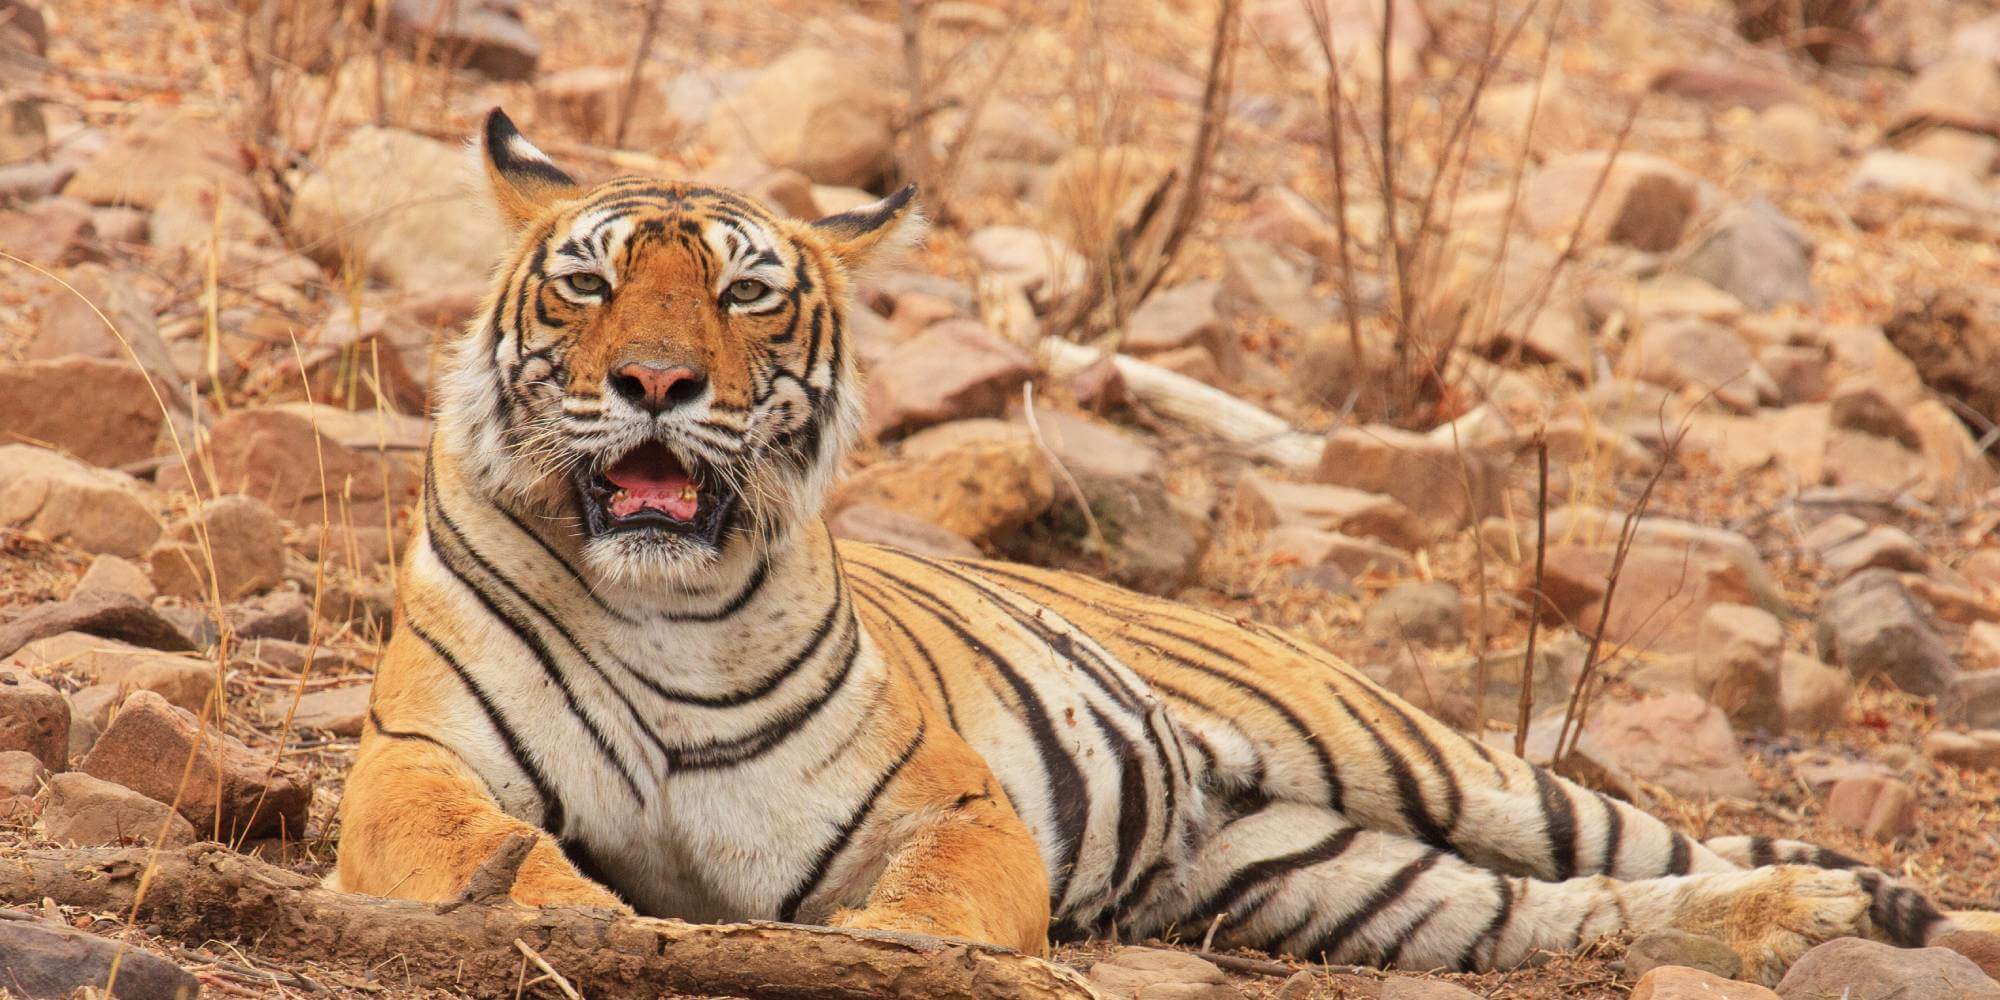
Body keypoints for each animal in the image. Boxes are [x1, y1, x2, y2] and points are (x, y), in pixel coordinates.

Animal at [336, 109, 1992, 984]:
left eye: (745, 294)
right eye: (589, 283)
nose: (658, 384)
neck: (657, 606)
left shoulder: (945, 800)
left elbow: (938, 903)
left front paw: (894, 954)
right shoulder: (418, 765)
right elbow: (494, 859)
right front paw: (582, 919)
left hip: (1432, 758)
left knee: (1647, 848)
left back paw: (1883, 913)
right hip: (1330, 880)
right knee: (1563, 913)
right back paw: (1829, 920)